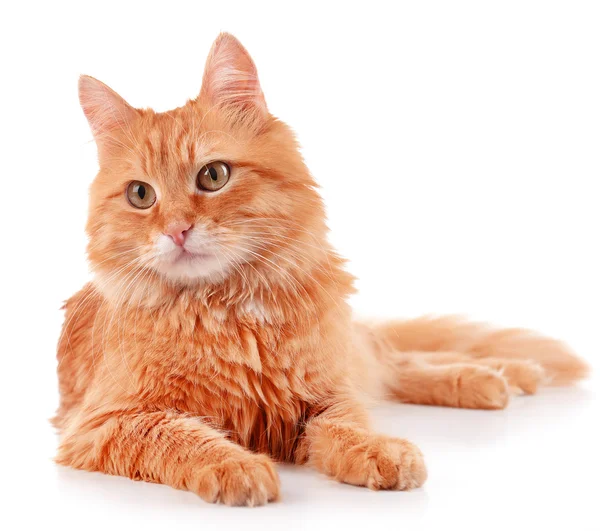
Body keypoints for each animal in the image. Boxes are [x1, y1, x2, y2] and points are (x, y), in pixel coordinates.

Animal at [54, 32, 588, 508]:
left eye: (213, 175)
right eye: (140, 195)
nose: (177, 231)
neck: (228, 308)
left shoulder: (326, 393)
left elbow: (345, 425)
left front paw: (378, 451)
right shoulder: (105, 421)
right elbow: (186, 438)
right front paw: (236, 466)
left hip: (349, 353)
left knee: (400, 363)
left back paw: (504, 375)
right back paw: (501, 377)